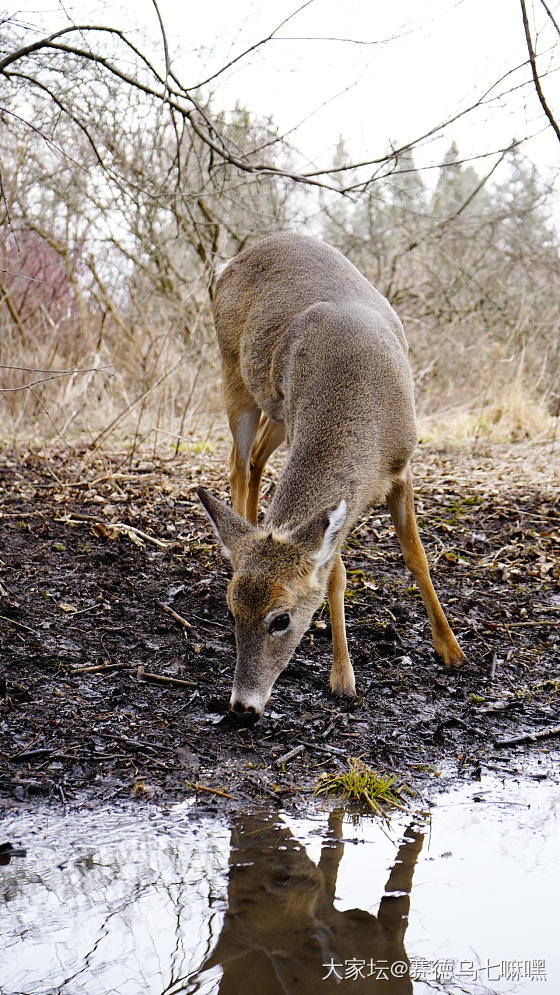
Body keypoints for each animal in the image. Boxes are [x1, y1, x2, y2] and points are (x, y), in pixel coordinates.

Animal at [197, 231, 464, 720]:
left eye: (281, 618)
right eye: (231, 612)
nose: (242, 706)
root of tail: (231, 261)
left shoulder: (402, 465)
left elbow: (416, 556)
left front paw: (451, 649)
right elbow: (335, 574)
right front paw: (343, 678)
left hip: (276, 411)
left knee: (251, 461)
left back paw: (248, 529)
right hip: (234, 373)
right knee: (237, 462)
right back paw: (238, 537)